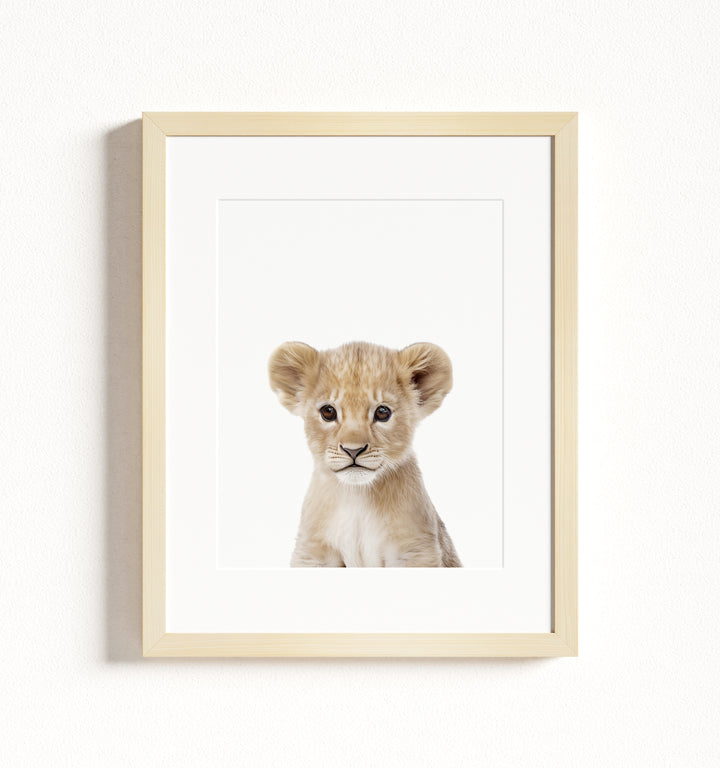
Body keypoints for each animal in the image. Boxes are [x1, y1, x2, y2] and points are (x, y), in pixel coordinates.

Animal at [268, 340, 462, 567]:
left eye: (382, 412)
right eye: (328, 412)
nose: (353, 450)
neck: (357, 497)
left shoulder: (416, 550)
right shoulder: (312, 552)